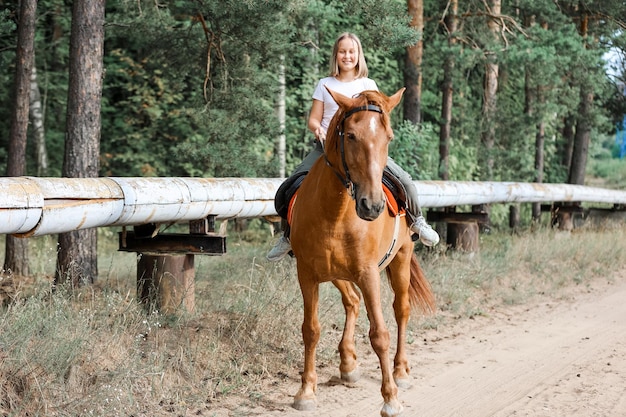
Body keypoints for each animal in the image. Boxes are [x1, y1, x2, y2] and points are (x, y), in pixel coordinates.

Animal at [288, 88, 434, 416]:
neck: (335, 213)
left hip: (401, 259)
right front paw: (306, 391)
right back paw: (348, 365)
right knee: (352, 302)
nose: (373, 205)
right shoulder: (307, 274)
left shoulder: (369, 275)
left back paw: (401, 370)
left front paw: (391, 399)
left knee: (401, 310)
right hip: (336, 273)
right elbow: (310, 329)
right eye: (351, 135)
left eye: (388, 137)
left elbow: (380, 334)